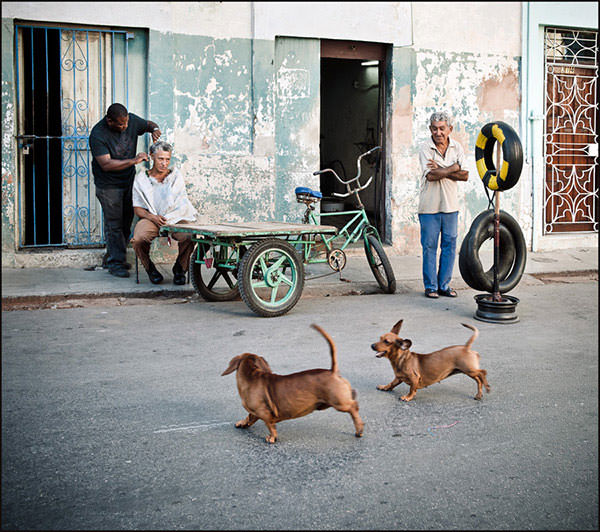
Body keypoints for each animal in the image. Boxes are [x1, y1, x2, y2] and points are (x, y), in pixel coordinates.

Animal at [220, 322, 360, 442]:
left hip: (340, 402)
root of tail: (333, 371)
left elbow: (270, 426)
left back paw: (359, 429)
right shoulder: (254, 412)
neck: (251, 376)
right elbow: (249, 416)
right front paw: (242, 423)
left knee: (354, 407)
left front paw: (272, 438)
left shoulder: (263, 412)